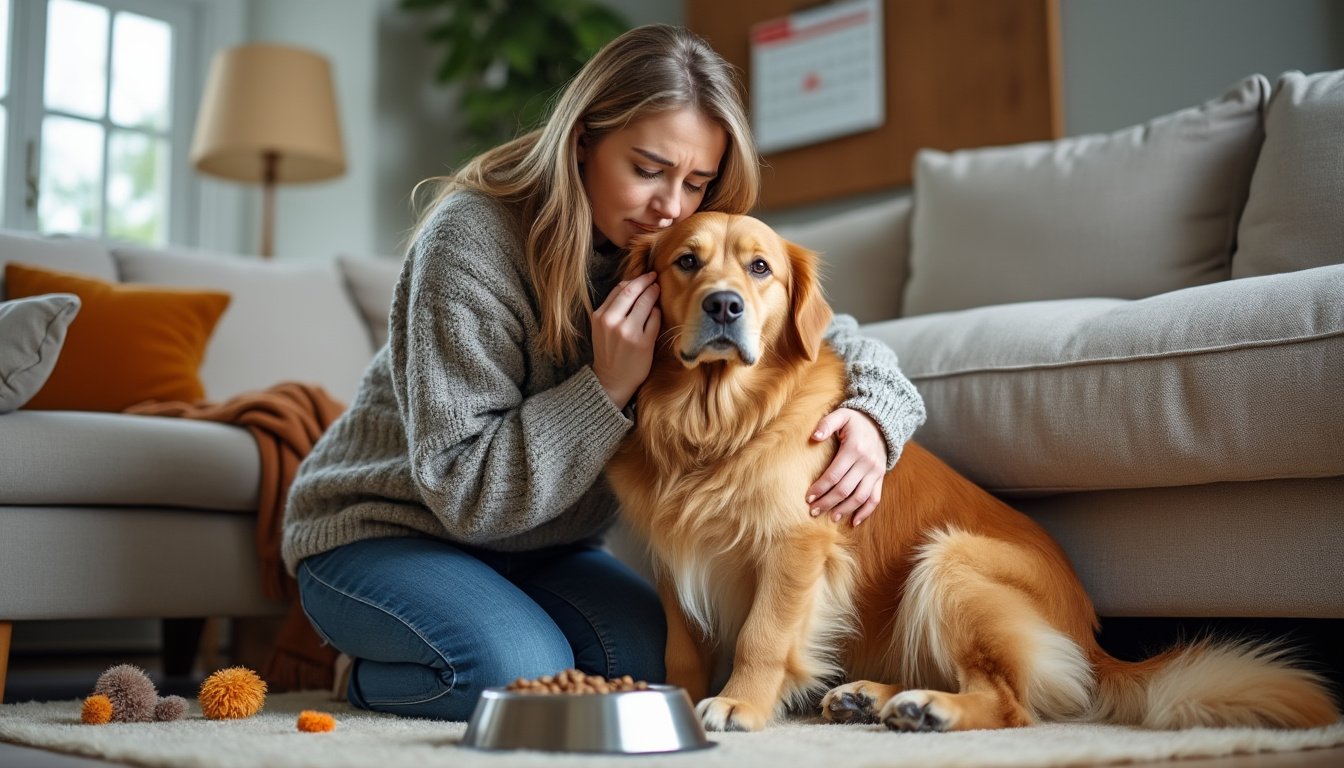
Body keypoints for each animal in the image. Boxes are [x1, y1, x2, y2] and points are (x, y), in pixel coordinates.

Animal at [607, 209, 1333, 731]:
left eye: (760, 267)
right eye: (686, 261)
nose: (724, 305)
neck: (716, 427)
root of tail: (1092, 639)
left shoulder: (797, 543)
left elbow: (762, 636)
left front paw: (741, 705)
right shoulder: (673, 554)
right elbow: (681, 645)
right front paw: (672, 700)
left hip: (950, 561)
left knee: (1014, 703)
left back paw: (928, 708)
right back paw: (873, 698)